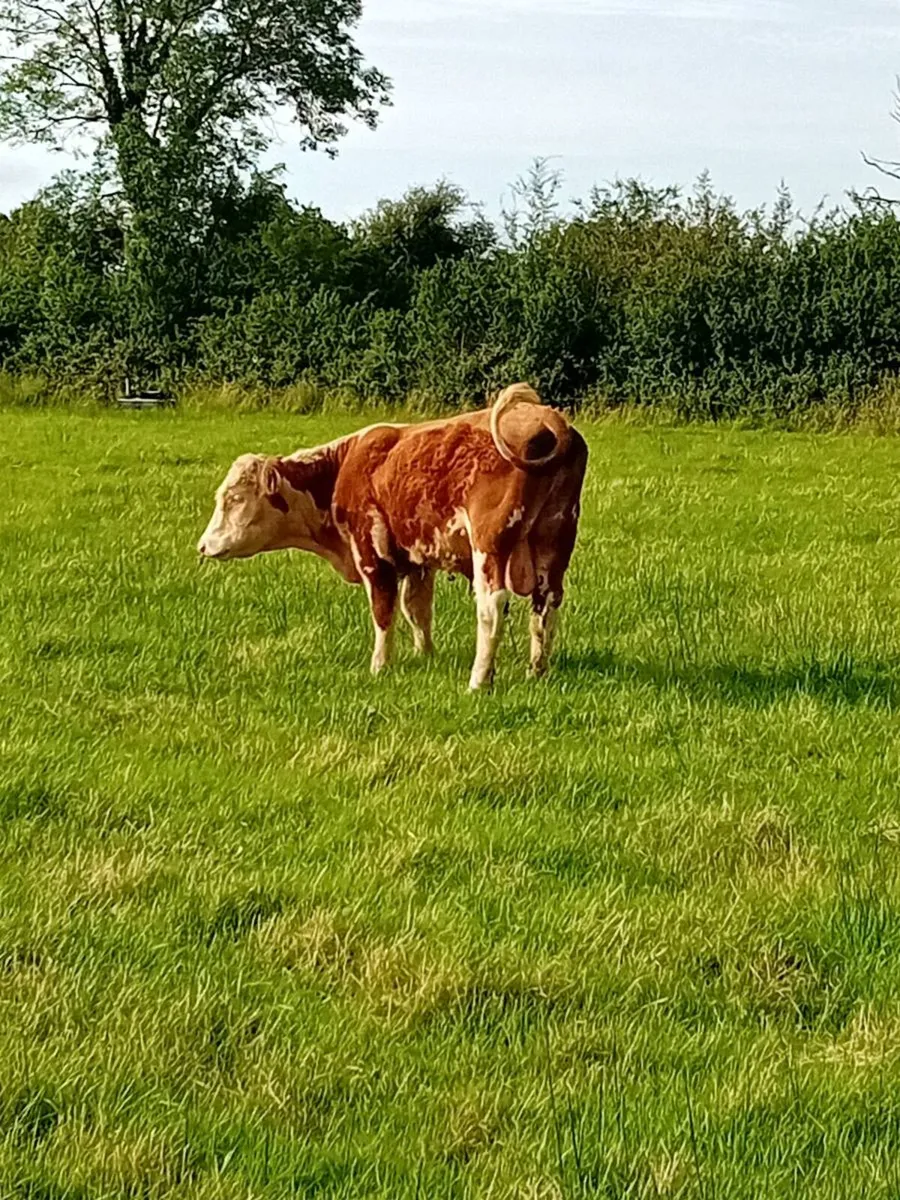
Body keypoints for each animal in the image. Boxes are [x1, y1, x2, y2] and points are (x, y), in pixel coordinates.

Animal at [197, 384, 588, 690]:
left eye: (233, 498)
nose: (203, 545)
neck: (344, 468)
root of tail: (544, 418)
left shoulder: (373, 555)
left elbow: (383, 612)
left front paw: (380, 666)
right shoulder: (418, 558)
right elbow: (417, 608)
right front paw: (425, 655)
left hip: (490, 546)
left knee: (491, 608)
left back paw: (479, 681)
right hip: (554, 540)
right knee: (546, 603)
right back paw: (536, 671)